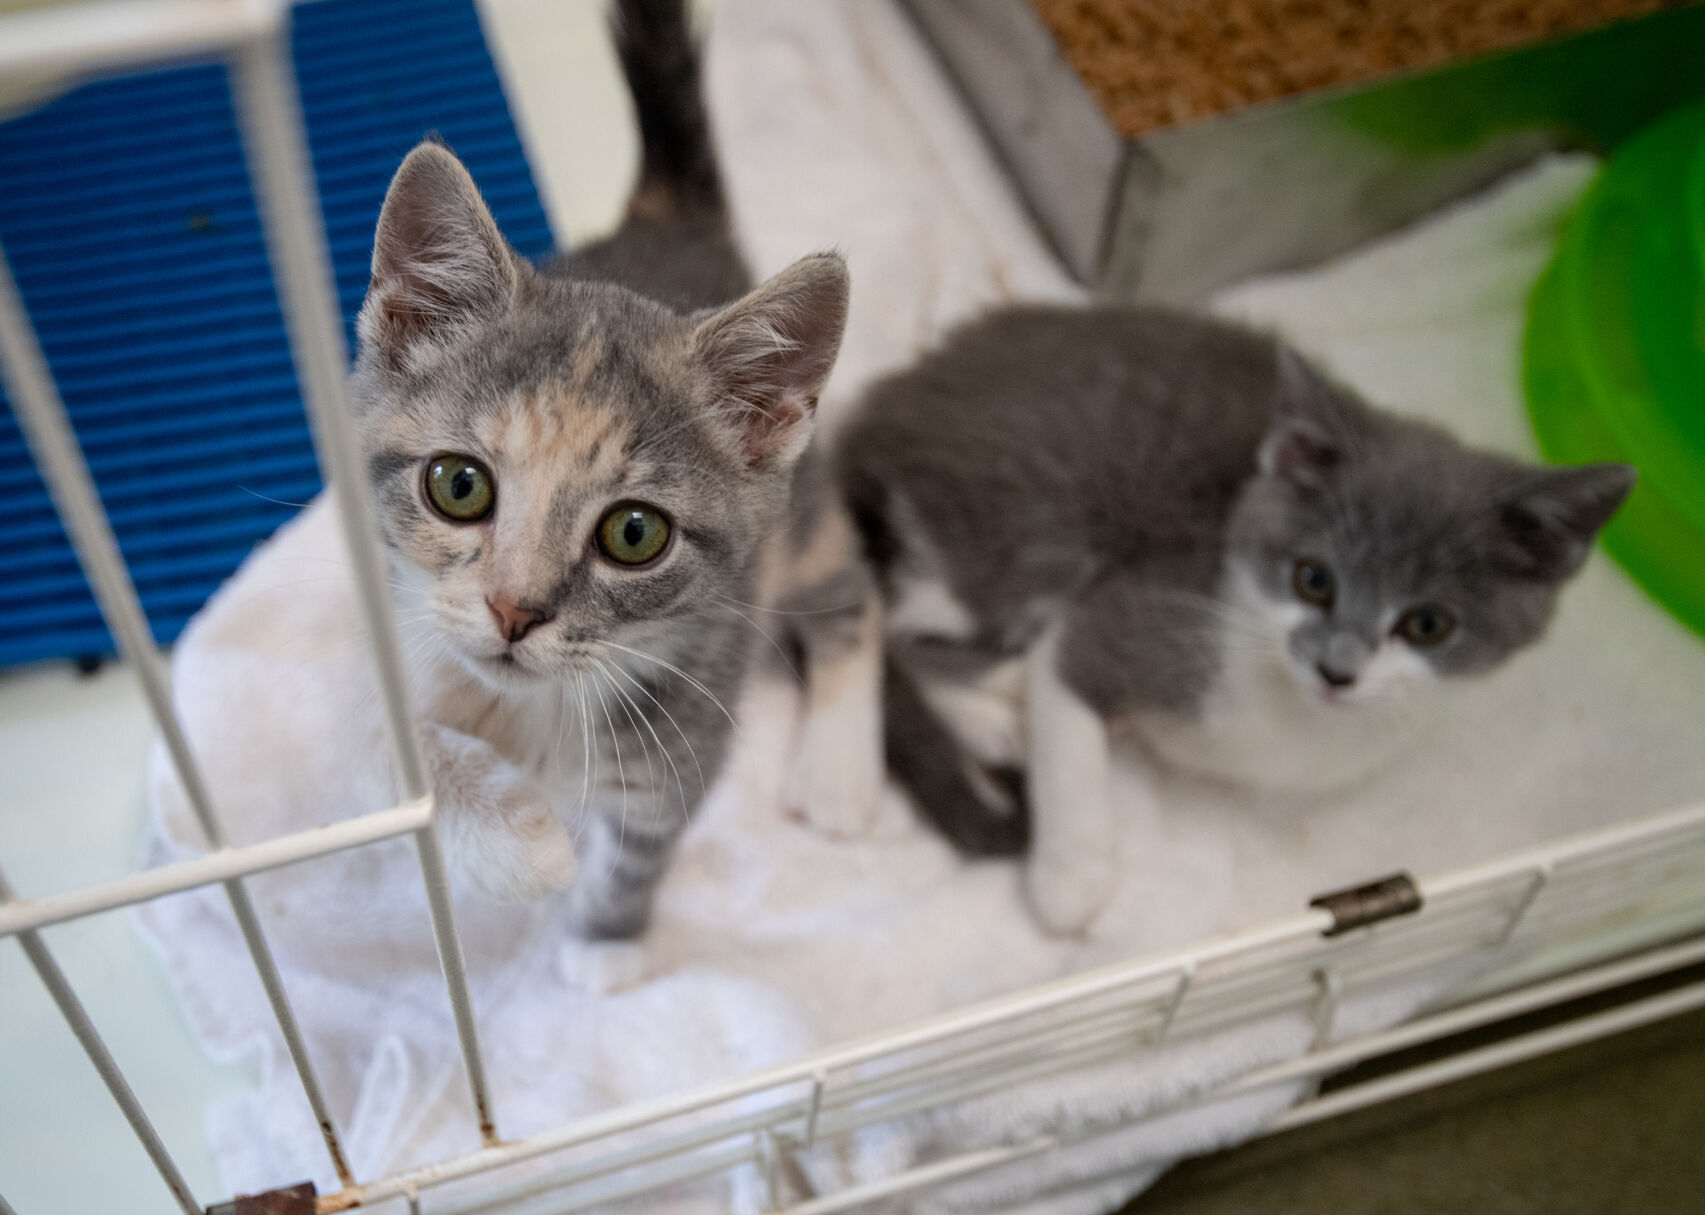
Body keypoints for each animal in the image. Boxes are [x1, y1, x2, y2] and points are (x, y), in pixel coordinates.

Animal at [354, 0, 852, 940]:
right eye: (458, 484)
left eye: (633, 533)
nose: (513, 611)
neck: (532, 711)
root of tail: (669, 221)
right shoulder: (393, 620)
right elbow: (388, 760)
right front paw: (517, 841)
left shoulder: (687, 730)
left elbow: (635, 859)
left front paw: (599, 944)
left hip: (801, 524)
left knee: (855, 589)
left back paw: (841, 774)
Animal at [814, 303, 1636, 927]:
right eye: (1313, 579)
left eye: (1428, 625)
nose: (1337, 670)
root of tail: (876, 411)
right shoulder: (1134, 613)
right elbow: (1069, 712)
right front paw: (1070, 882)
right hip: (1039, 522)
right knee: (900, 625)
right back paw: (995, 715)